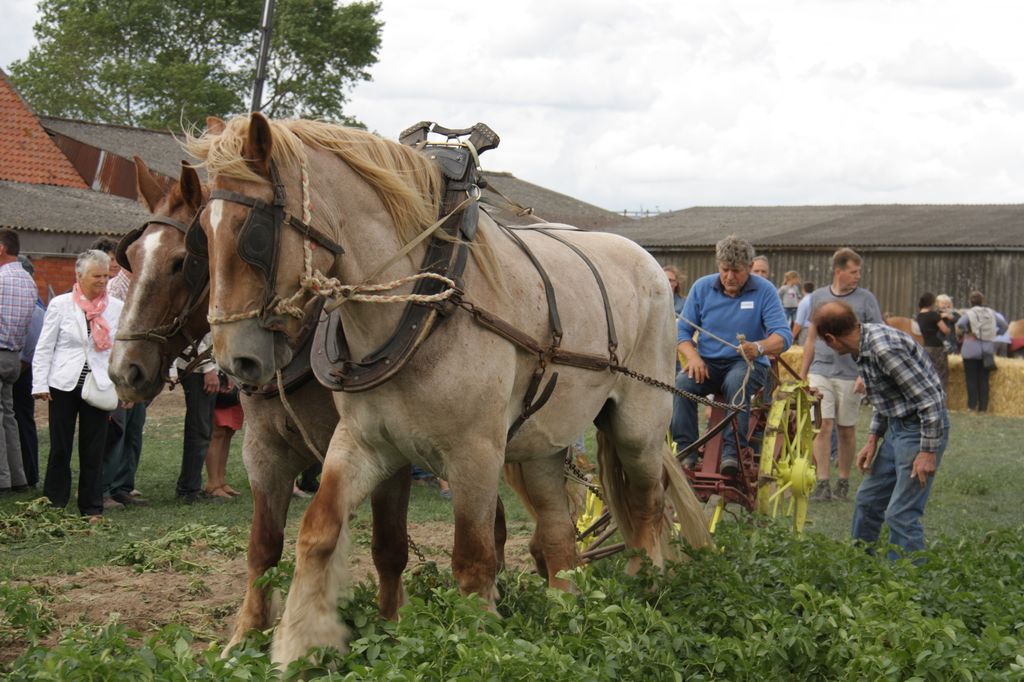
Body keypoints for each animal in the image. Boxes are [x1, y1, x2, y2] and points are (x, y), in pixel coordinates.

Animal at [110, 155, 505, 647]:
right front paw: (246, 635)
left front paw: (391, 626)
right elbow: (263, 546)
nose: (124, 370)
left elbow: (389, 547)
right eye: (130, 258)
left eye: (182, 262)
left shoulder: (389, 451)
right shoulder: (265, 451)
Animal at [184, 112, 712, 663]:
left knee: (649, 507)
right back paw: (566, 613)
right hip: (540, 448)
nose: (234, 360)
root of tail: (650, 263)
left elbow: (475, 559)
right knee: (558, 533)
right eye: (201, 235)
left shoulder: (474, 454)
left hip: (638, 426)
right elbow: (317, 530)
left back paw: (646, 590)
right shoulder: (365, 442)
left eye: (253, 233)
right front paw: (296, 644)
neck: (422, 305)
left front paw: (476, 642)